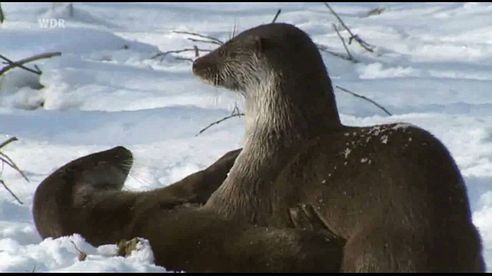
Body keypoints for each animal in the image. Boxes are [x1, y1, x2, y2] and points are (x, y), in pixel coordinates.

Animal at [32, 147, 344, 272]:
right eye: (99, 159)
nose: (122, 148)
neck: (100, 218)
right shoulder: (143, 202)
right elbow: (192, 182)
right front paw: (230, 157)